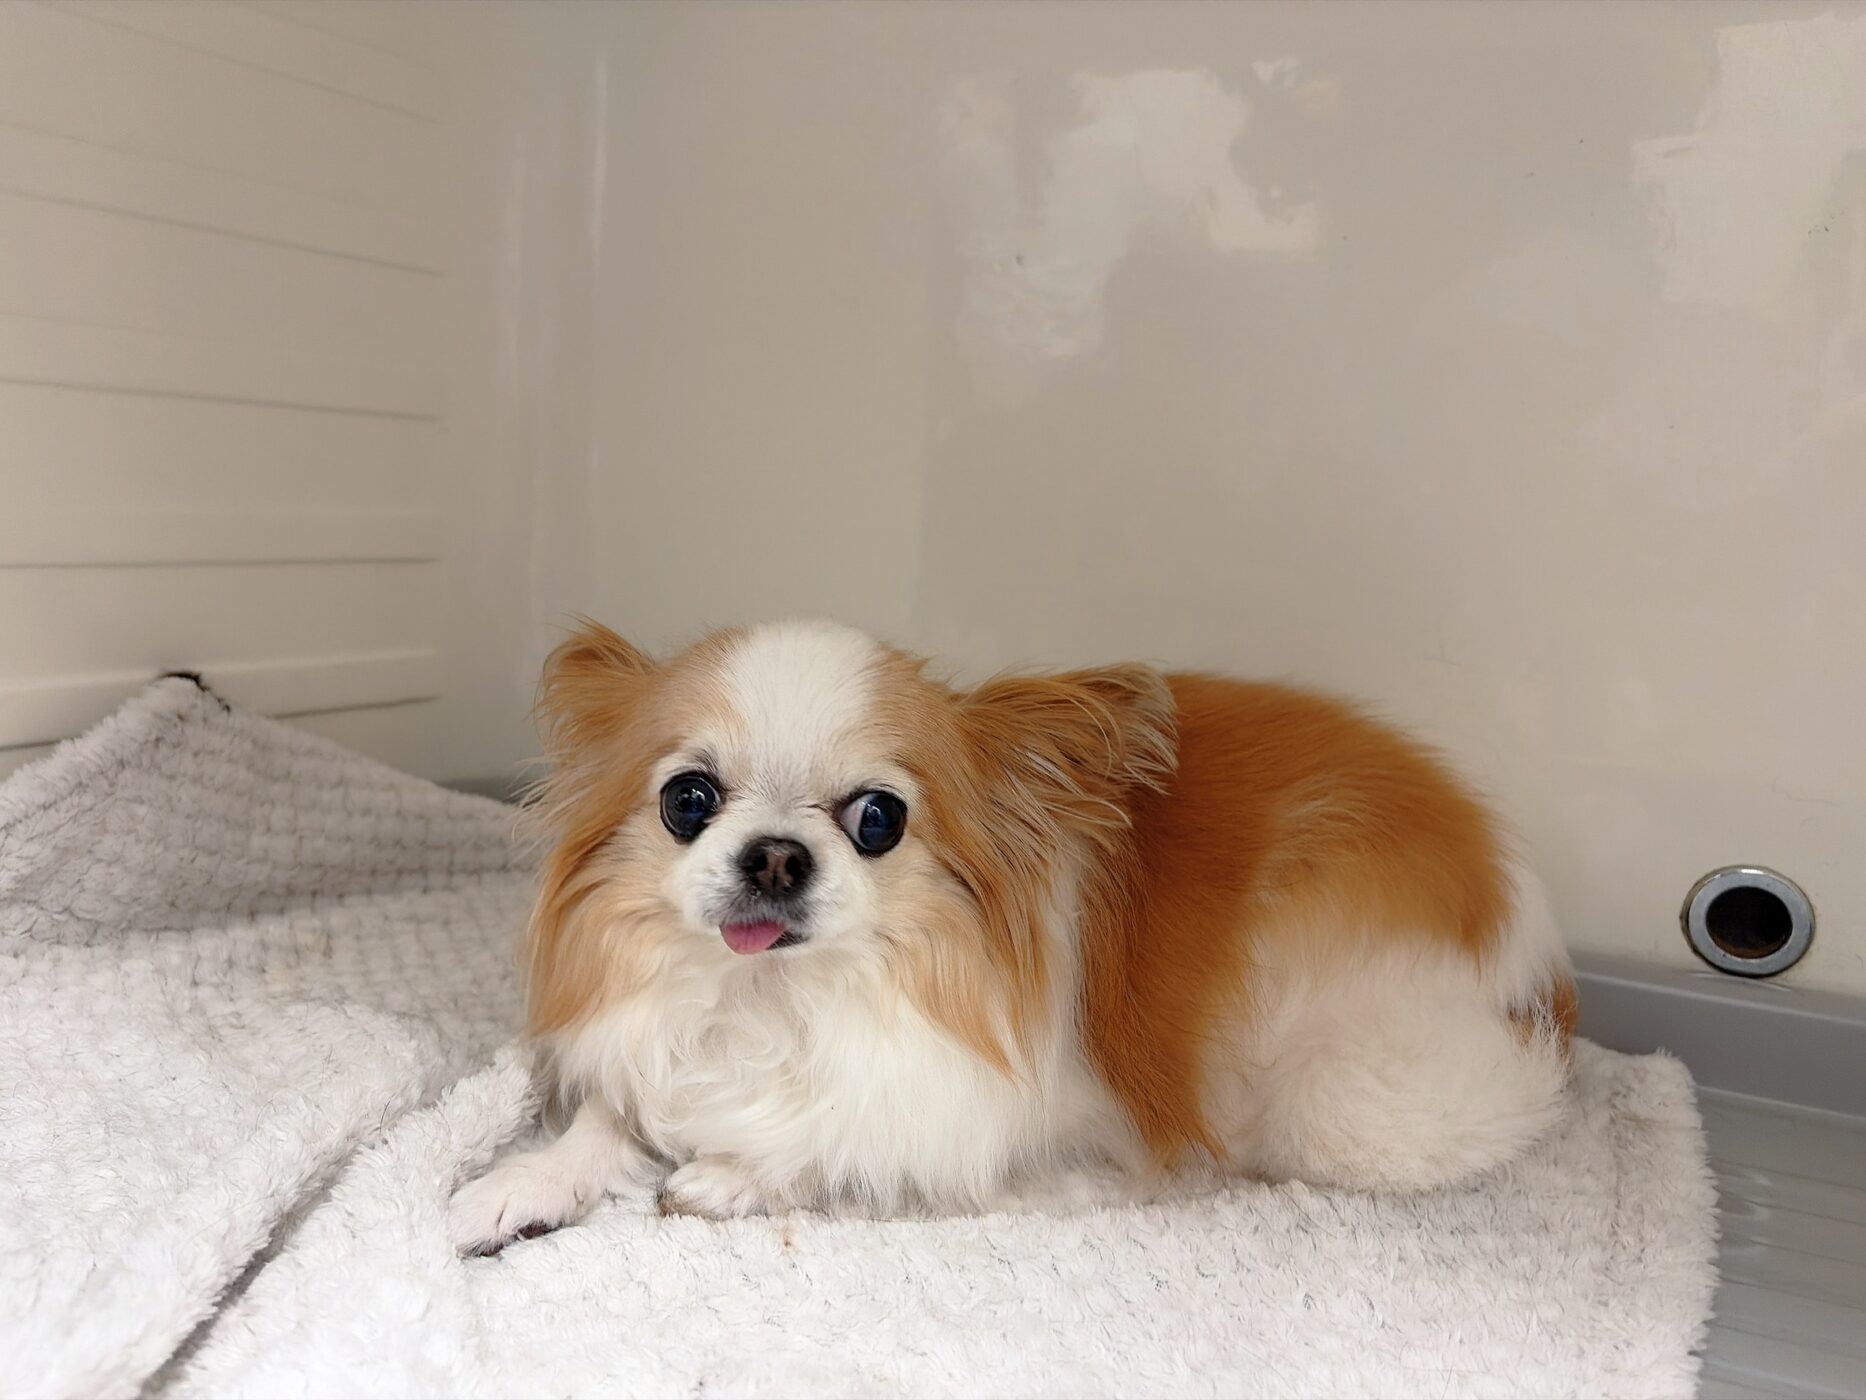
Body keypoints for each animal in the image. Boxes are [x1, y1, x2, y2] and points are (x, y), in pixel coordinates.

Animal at [449, 619, 1574, 1253]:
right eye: (688, 799)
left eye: (878, 818)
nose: (773, 855)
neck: (779, 1003)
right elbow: (607, 1120)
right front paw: (516, 1185)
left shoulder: (996, 1107)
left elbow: (864, 1140)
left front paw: (739, 1171)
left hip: (1335, 1099)